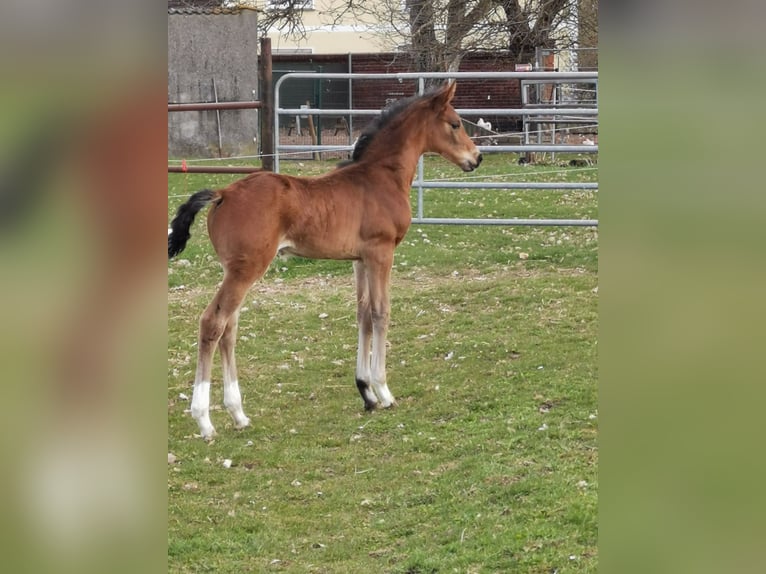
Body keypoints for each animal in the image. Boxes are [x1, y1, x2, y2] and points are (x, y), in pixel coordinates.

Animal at [168, 81, 482, 439]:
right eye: (455, 124)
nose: (477, 158)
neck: (381, 176)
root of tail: (222, 193)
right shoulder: (381, 252)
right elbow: (381, 312)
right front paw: (384, 391)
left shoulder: (360, 259)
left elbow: (363, 314)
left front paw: (366, 392)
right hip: (246, 270)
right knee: (212, 323)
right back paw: (204, 420)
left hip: (233, 270)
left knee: (229, 328)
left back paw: (238, 414)